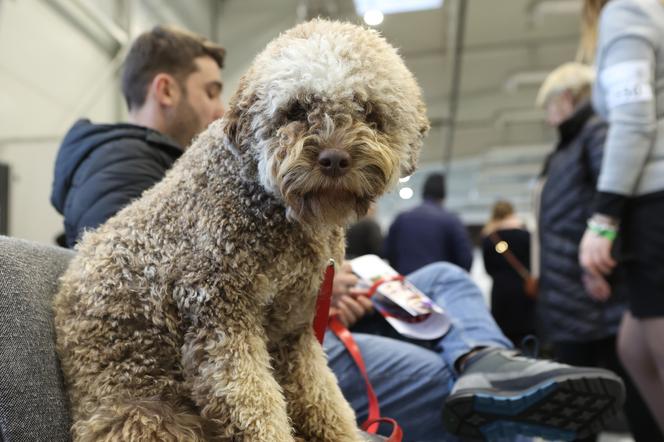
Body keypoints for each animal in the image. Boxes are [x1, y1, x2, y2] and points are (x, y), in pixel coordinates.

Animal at [55, 19, 430, 440]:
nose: (334, 158)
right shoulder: (220, 323)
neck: (275, 206)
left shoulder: (296, 333)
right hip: (148, 415)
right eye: (296, 109)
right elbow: (257, 411)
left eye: (368, 110)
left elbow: (325, 401)